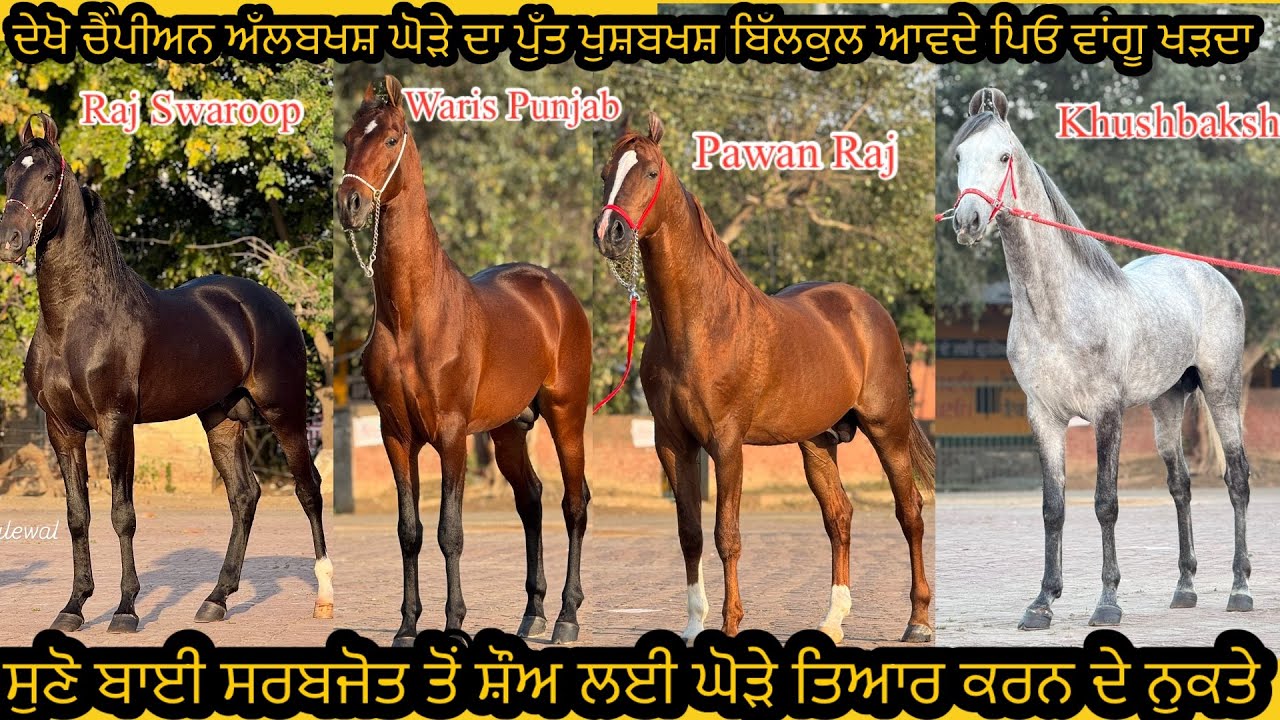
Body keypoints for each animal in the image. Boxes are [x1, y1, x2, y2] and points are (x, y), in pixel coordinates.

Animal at [0, 113, 332, 634]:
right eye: (10, 174)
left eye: (49, 176)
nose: (9, 241)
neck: (74, 322)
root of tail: (269, 301)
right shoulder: (62, 430)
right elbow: (77, 516)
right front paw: (73, 607)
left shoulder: (116, 424)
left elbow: (123, 514)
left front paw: (125, 610)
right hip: (221, 420)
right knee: (244, 496)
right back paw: (216, 599)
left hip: (286, 412)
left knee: (309, 489)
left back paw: (324, 598)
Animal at [337, 76, 592, 646]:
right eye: (347, 138)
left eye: (390, 140)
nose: (350, 204)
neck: (413, 315)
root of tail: (558, 293)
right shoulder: (396, 435)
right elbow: (409, 532)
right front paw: (407, 625)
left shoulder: (451, 434)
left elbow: (449, 532)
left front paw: (453, 623)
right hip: (508, 431)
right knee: (531, 500)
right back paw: (532, 612)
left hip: (566, 416)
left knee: (574, 503)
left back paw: (566, 617)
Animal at [593, 113, 935, 644]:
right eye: (605, 173)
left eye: (649, 172)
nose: (609, 232)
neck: (700, 324)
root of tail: (867, 308)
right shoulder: (672, 442)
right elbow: (690, 534)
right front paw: (694, 624)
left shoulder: (726, 443)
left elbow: (726, 535)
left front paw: (731, 624)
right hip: (817, 442)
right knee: (839, 517)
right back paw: (833, 620)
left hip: (888, 430)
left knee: (910, 512)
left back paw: (917, 620)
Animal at [946, 88, 1252, 629]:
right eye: (960, 156)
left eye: (1003, 157)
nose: (968, 221)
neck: (1057, 309)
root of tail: (1211, 275)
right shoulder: (1044, 417)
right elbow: (1053, 507)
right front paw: (1042, 603)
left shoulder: (1107, 414)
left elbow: (1105, 504)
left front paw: (1107, 602)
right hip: (1167, 404)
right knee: (1180, 486)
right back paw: (1185, 588)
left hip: (1222, 391)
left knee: (1236, 480)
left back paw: (1240, 588)